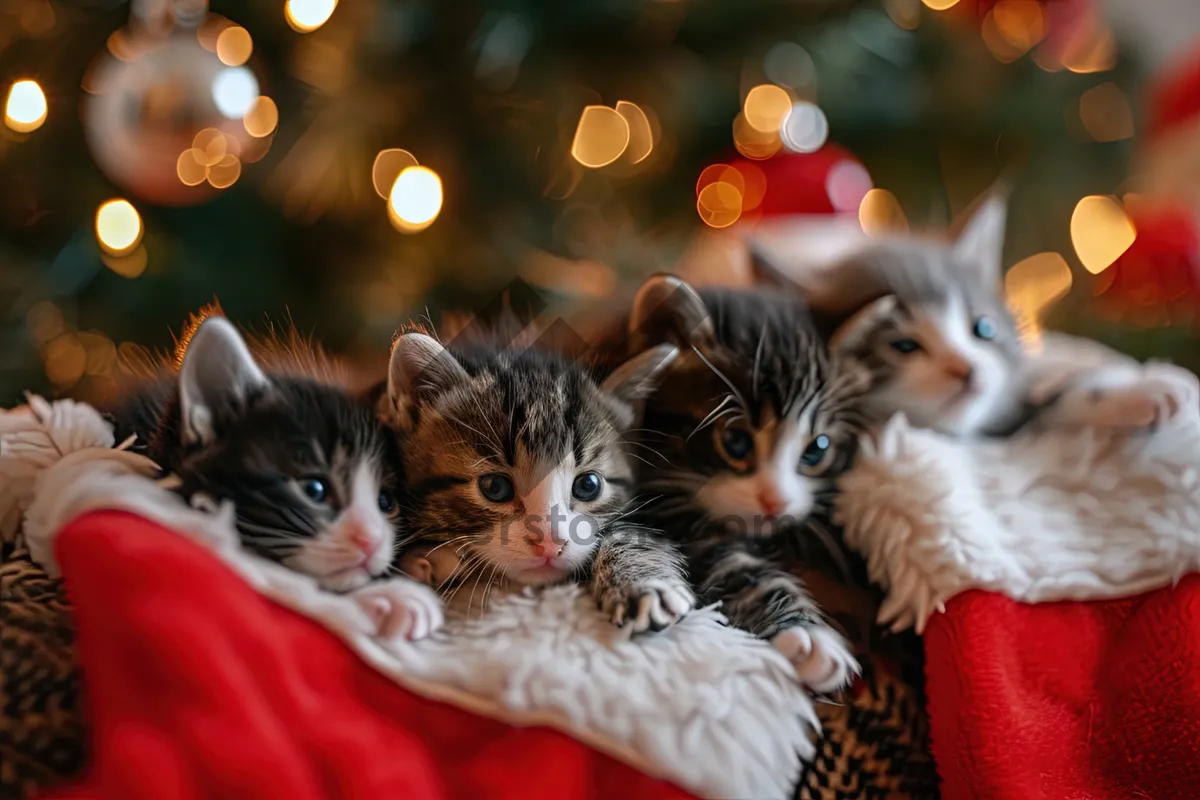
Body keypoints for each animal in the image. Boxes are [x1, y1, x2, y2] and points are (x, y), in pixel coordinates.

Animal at [374, 328, 696, 633]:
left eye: (588, 486)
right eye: (495, 487)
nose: (551, 544)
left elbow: (631, 532)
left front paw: (644, 585)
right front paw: (421, 562)